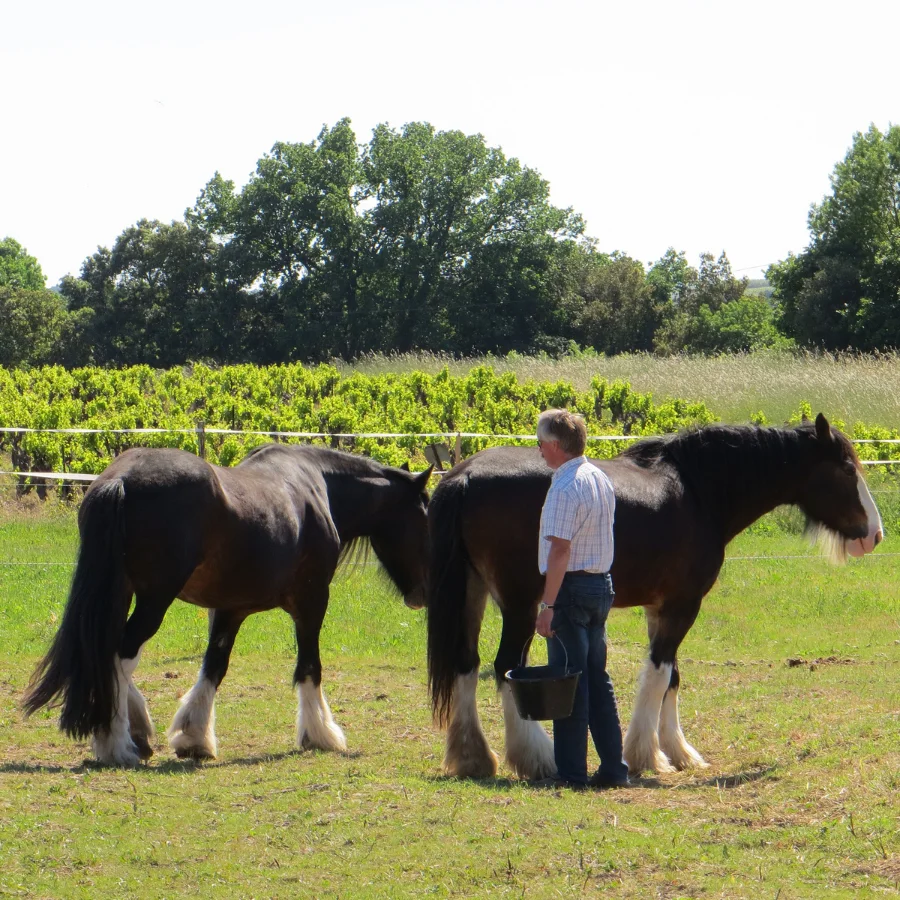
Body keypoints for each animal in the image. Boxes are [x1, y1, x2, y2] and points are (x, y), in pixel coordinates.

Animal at [23, 443, 432, 767]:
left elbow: (214, 666)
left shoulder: (229, 609)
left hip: (120, 593)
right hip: (154, 599)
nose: (424, 594)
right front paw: (321, 734)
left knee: (103, 652)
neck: (318, 487)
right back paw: (117, 743)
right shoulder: (312, 600)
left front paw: (194, 737)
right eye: (426, 515)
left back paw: (135, 728)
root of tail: (120, 479)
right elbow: (310, 666)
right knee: (120, 653)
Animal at [426, 414, 883, 780]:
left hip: (472, 596)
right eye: (847, 469)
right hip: (520, 607)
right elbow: (659, 673)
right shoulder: (683, 606)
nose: (874, 535)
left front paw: (680, 752)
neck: (698, 491)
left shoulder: (660, 608)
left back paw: (473, 758)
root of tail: (464, 475)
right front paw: (649, 755)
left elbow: (672, 678)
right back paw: (537, 758)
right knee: (506, 668)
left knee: (466, 666)